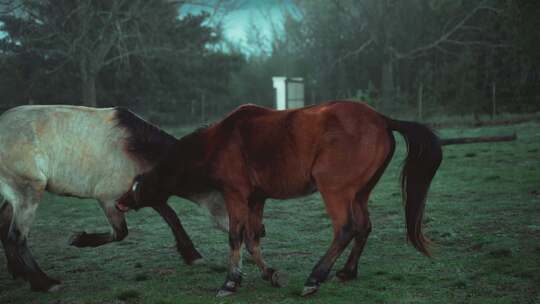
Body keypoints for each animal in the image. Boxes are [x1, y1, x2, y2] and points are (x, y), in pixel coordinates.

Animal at [0, 105, 200, 292]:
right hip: (29, 192)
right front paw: (79, 240)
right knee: (17, 237)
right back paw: (44, 282)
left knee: (5, 224)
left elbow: (172, 217)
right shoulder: (109, 200)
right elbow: (120, 233)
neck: (134, 147)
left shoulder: (143, 193)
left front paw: (192, 254)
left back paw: (20, 273)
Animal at [116, 101, 440, 296]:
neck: (218, 141)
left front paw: (231, 281)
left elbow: (236, 236)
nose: (121, 201)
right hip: (360, 193)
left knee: (345, 228)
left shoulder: (236, 195)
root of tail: (382, 119)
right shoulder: (256, 199)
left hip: (335, 191)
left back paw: (315, 277)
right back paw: (347, 272)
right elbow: (252, 237)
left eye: (137, 185)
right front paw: (269, 274)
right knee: (363, 227)